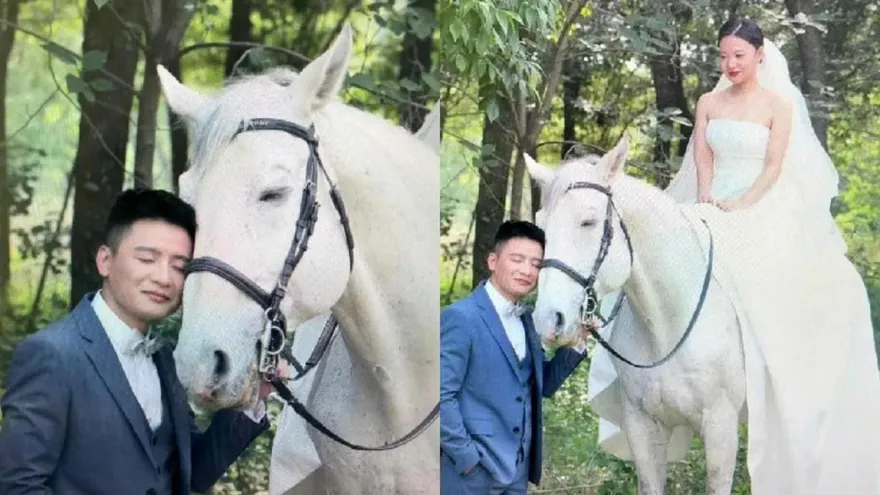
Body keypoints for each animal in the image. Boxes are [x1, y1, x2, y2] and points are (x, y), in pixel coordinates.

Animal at [523, 136, 746, 495]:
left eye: (588, 222)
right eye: (542, 227)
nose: (547, 320)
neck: (668, 328)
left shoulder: (720, 428)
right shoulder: (643, 427)